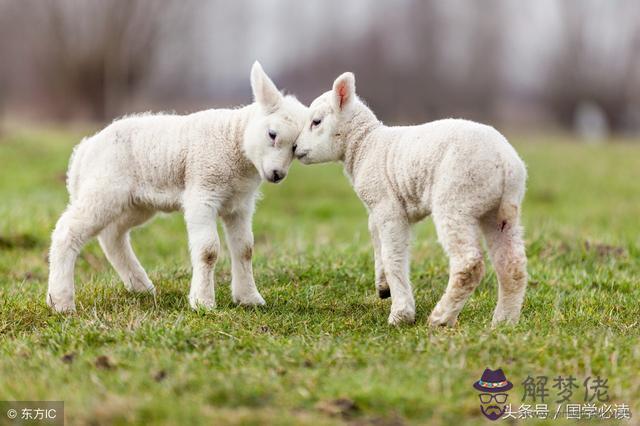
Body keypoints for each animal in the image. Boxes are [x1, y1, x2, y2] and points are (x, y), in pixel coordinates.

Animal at [45, 61, 308, 312]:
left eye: (295, 148)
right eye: (272, 134)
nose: (277, 174)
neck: (234, 140)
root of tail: (83, 151)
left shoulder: (240, 205)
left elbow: (245, 249)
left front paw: (249, 299)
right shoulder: (202, 192)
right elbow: (208, 251)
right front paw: (203, 302)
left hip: (136, 203)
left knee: (112, 235)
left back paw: (141, 287)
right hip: (104, 188)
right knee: (67, 231)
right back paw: (61, 302)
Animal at [292, 72, 528, 326]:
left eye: (316, 122)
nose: (294, 147)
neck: (365, 145)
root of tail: (506, 163)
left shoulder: (387, 207)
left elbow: (393, 255)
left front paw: (401, 313)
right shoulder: (377, 208)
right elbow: (376, 239)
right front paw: (383, 286)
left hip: (457, 198)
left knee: (469, 264)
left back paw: (440, 318)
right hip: (497, 212)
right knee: (512, 265)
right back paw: (503, 322)